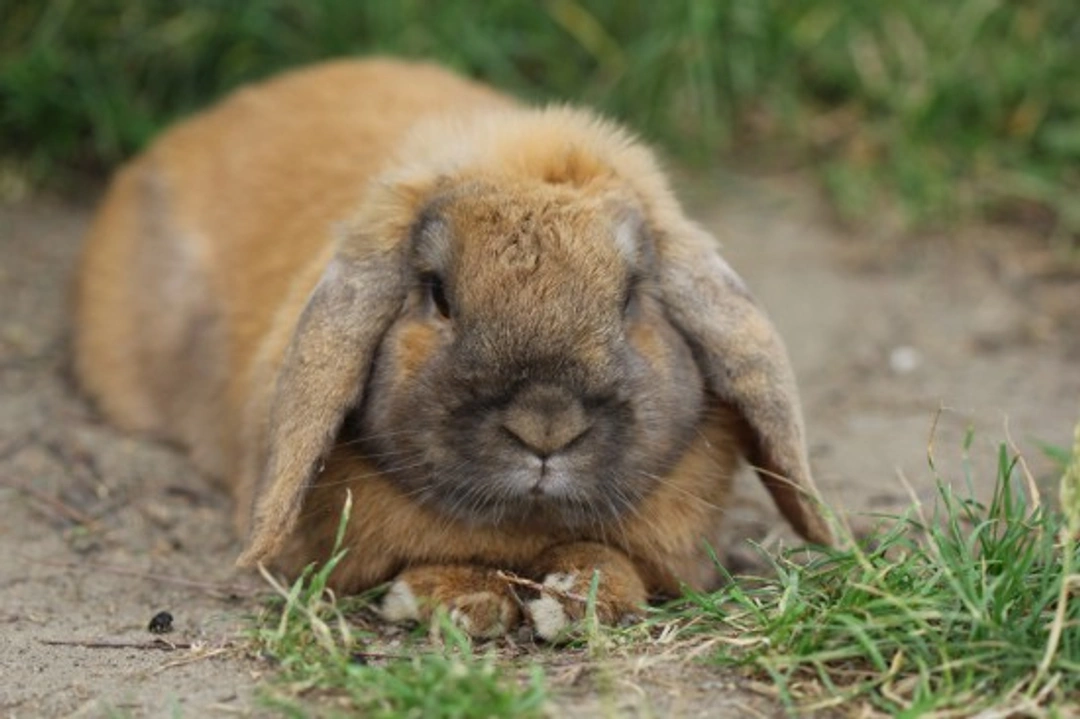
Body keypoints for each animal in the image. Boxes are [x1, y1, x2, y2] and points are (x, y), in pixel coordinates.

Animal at [73, 57, 832, 640]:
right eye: (438, 295)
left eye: (632, 296)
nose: (545, 425)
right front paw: (458, 599)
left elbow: (620, 563)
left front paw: (574, 596)